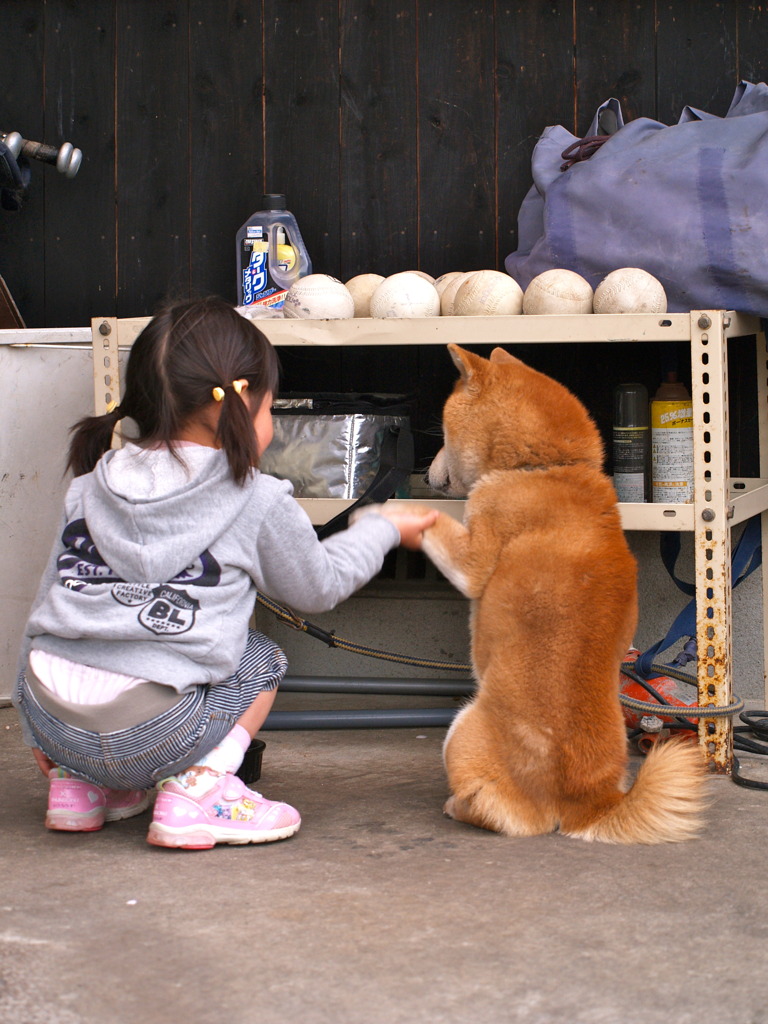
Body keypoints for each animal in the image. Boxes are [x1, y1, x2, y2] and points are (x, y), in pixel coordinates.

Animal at [421, 344, 708, 839]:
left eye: (442, 432)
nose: (423, 474)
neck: (548, 468)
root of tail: (590, 801)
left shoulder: (472, 557)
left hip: (462, 728)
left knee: (497, 810)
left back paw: (457, 806)